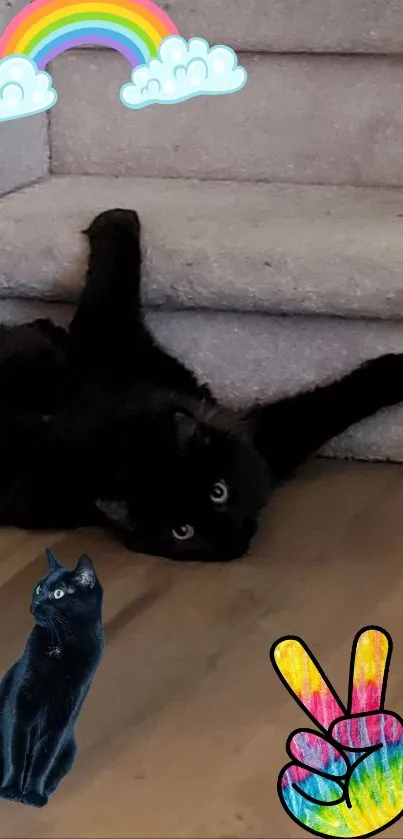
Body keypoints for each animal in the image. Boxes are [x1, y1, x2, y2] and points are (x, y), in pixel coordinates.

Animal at [0, 210, 403, 564]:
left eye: (218, 492)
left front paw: (115, 218)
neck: (127, 440)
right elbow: (327, 406)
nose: (228, 535)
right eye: (183, 532)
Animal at [0, 548, 103, 812]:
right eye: (38, 588)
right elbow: (15, 751)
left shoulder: (61, 718)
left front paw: (33, 794)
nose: (35, 602)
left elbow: (43, 760)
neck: (61, 645)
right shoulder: (18, 706)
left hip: (71, 747)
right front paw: (11, 790)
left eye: (58, 593)